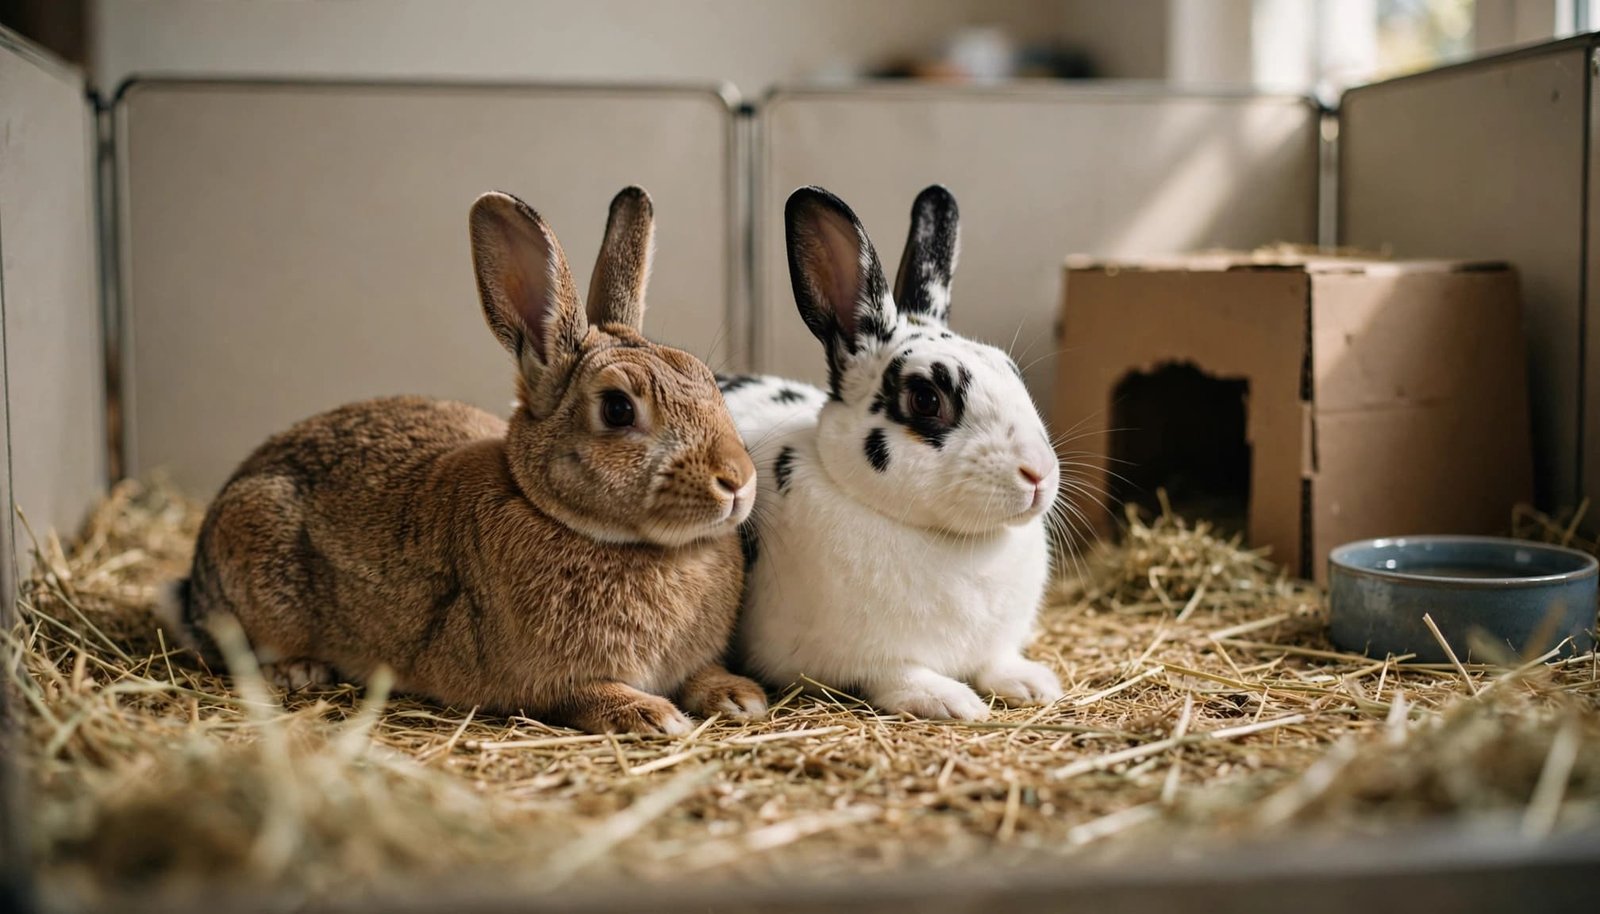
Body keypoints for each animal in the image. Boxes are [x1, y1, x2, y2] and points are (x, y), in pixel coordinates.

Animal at [157, 187, 768, 735]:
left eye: (708, 379)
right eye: (618, 409)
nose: (737, 480)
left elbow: (703, 673)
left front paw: (740, 696)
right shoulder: (540, 684)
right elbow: (586, 696)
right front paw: (651, 714)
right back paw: (298, 669)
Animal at [719, 185, 1063, 721]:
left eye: (1011, 370)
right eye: (925, 398)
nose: (1039, 473)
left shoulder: (995, 646)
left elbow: (997, 661)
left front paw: (1034, 684)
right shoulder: (864, 661)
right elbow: (899, 675)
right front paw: (953, 702)